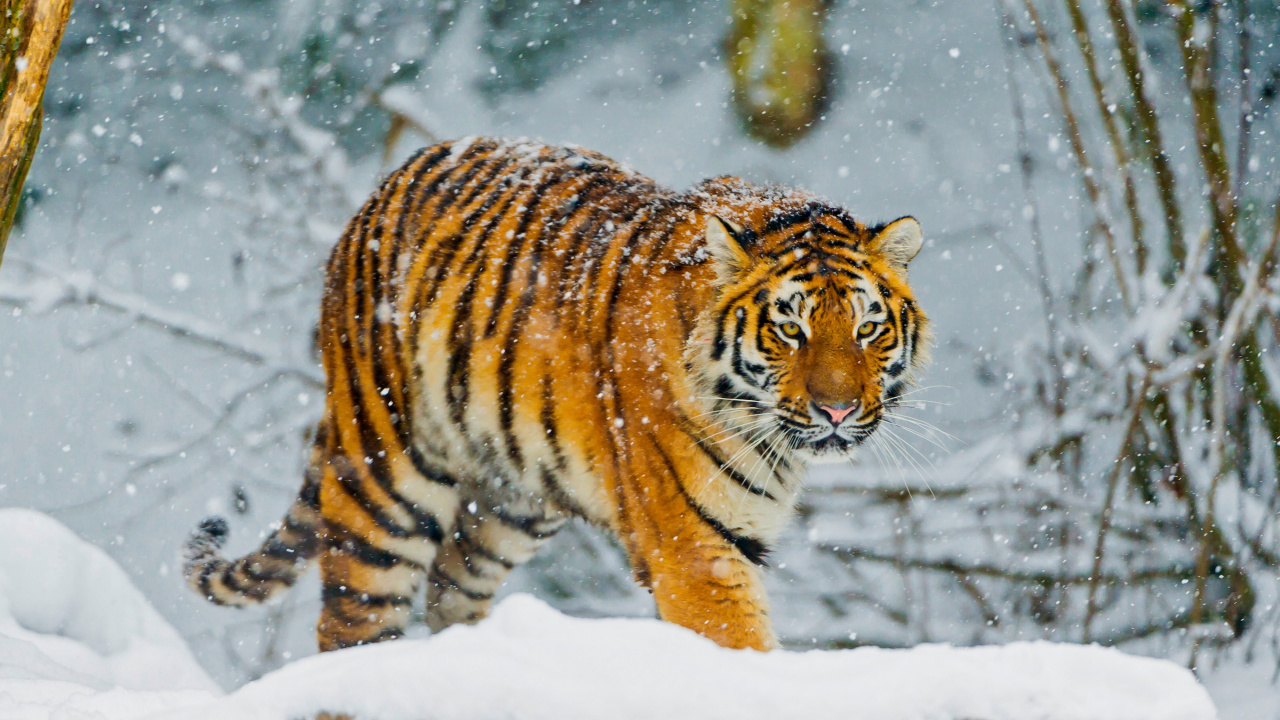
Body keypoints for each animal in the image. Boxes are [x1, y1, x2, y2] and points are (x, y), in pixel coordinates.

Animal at [183, 137, 929, 652]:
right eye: (789, 329)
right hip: (385, 484)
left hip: (505, 504)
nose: (837, 409)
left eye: (866, 328)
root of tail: (377, 194)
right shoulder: (697, 552)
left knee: (450, 590)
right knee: (351, 625)